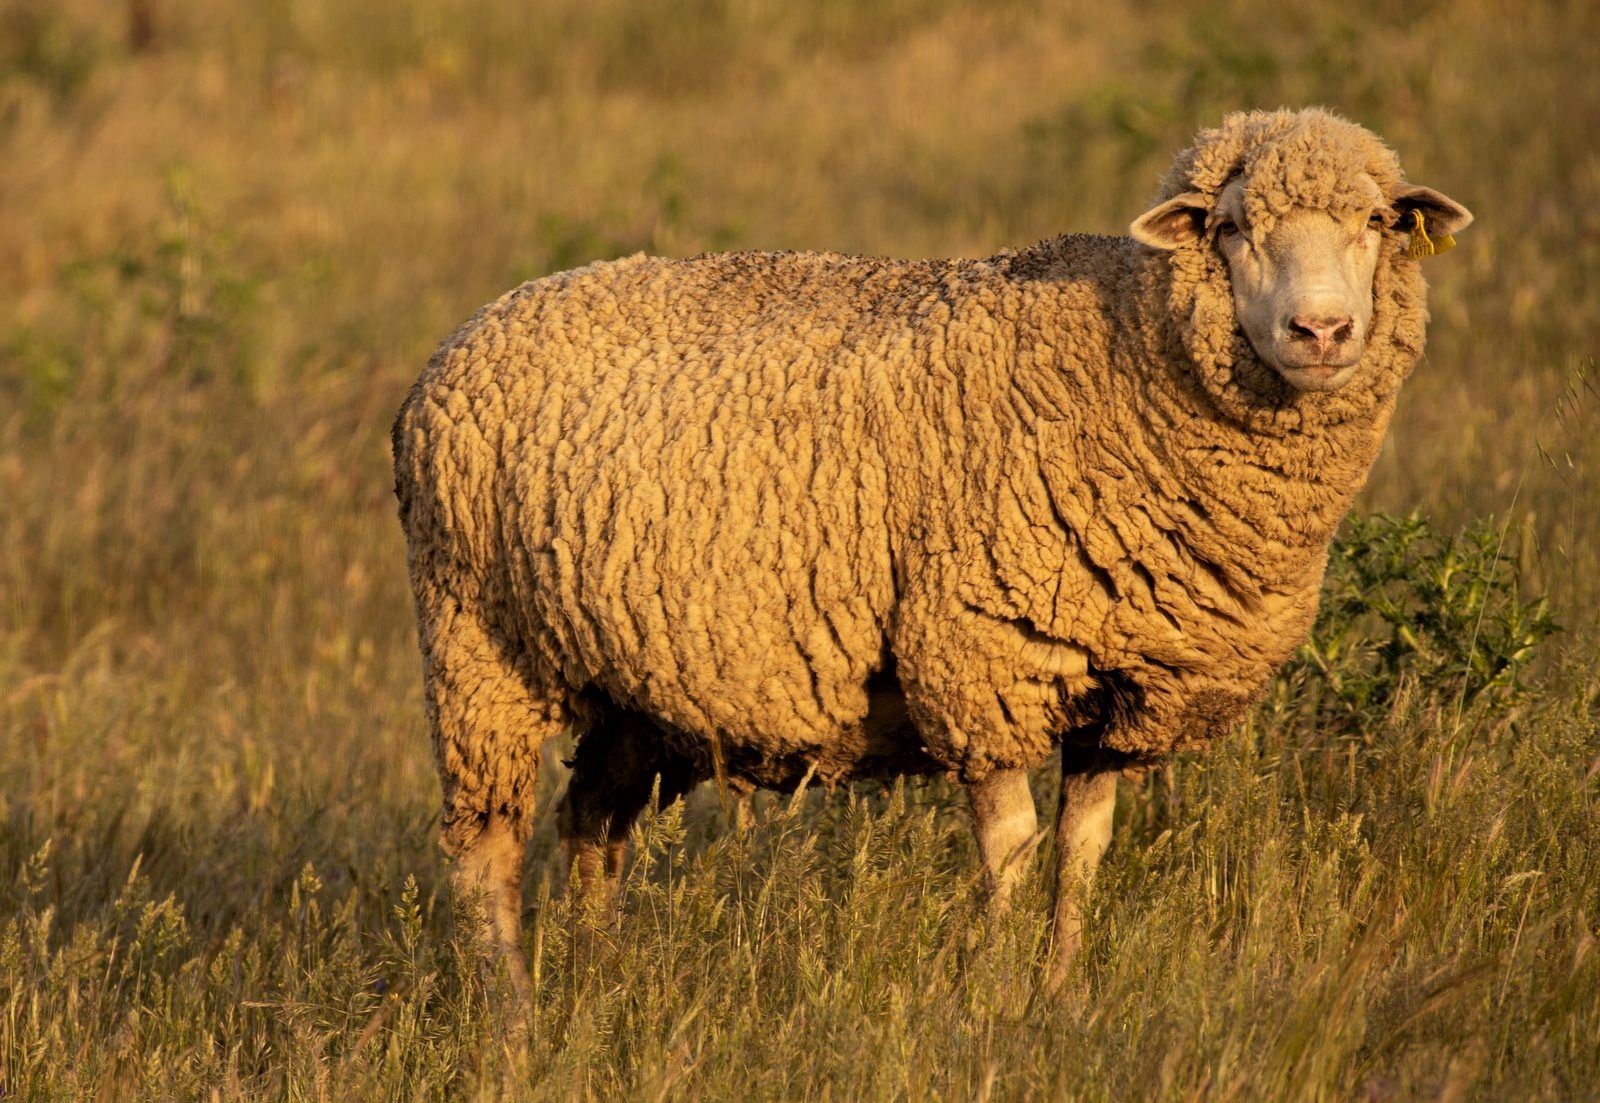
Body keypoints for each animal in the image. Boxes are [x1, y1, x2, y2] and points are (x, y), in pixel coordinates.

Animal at [391, 107, 1472, 998]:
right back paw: (515, 1020)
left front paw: (1057, 996)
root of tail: (458, 342)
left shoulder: (1121, 690)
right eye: (1232, 227)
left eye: (1378, 223)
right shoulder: (979, 654)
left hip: (636, 686)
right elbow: (1013, 847)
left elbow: (1082, 851)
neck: (1126, 352)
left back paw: (598, 983)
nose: (1321, 330)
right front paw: (990, 998)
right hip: (476, 647)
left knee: (592, 828)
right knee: (486, 851)